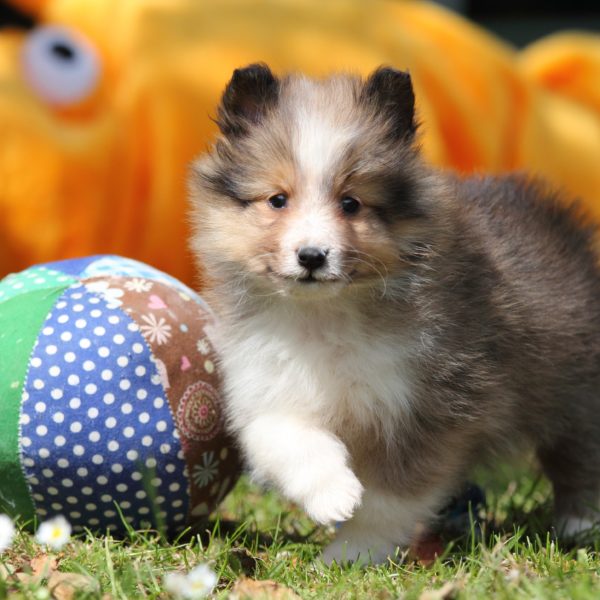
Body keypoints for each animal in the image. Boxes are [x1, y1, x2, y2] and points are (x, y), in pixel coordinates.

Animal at [190, 64, 600, 564]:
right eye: (277, 200)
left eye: (351, 203)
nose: (312, 256)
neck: (326, 315)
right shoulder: (268, 384)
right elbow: (283, 436)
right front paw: (334, 494)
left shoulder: (429, 407)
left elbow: (390, 498)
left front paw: (351, 553)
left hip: (576, 390)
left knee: (580, 457)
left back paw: (579, 524)